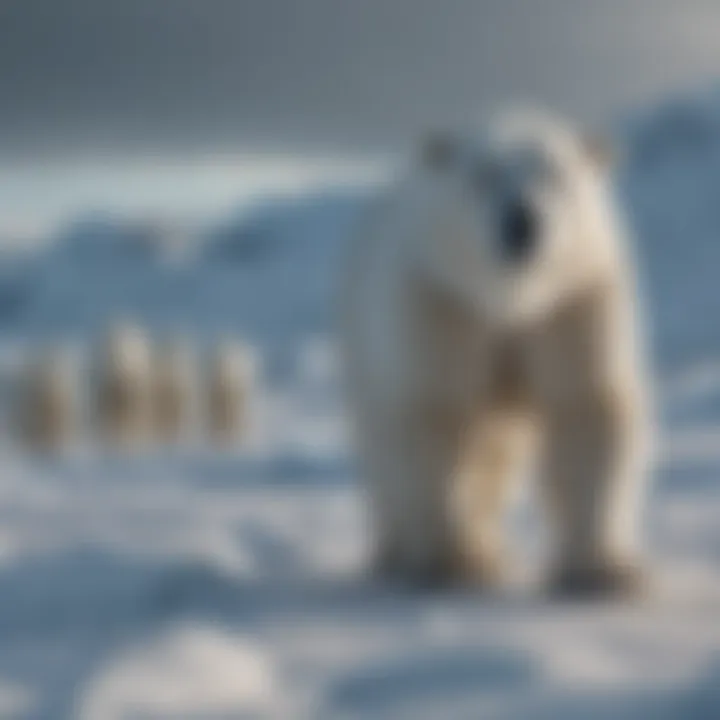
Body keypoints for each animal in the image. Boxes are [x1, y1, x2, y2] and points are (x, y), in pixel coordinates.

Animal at [340, 111, 648, 596]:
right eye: (483, 174)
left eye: (555, 173)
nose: (522, 221)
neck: (510, 300)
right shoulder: (441, 304)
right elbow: (436, 415)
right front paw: (452, 560)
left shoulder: (572, 303)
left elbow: (583, 410)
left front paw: (606, 571)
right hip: (362, 343)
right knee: (383, 447)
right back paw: (399, 551)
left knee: (497, 451)